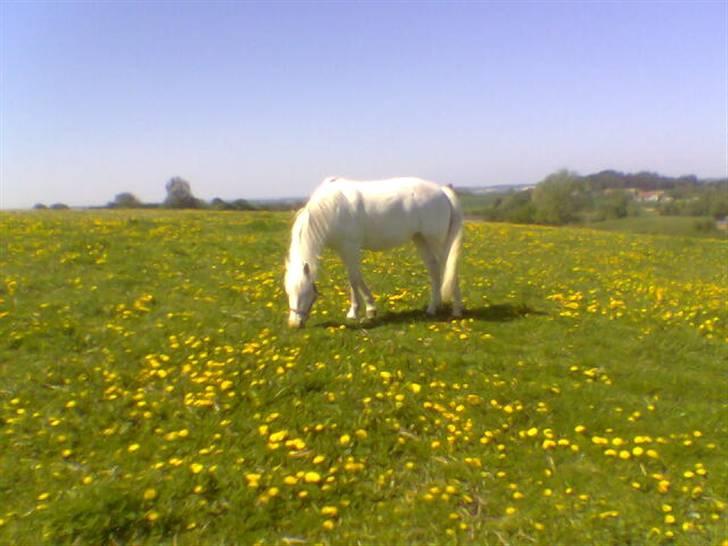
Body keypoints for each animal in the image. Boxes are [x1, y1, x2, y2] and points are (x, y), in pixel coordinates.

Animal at [282, 175, 464, 328]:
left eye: (304, 292)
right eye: (288, 292)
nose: (294, 324)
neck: (332, 208)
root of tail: (442, 191)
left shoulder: (351, 247)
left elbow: (353, 279)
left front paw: (353, 312)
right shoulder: (343, 250)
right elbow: (357, 277)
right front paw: (370, 309)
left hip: (436, 241)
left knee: (449, 268)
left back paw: (456, 310)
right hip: (420, 239)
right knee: (434, 269)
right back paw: (433, 308)